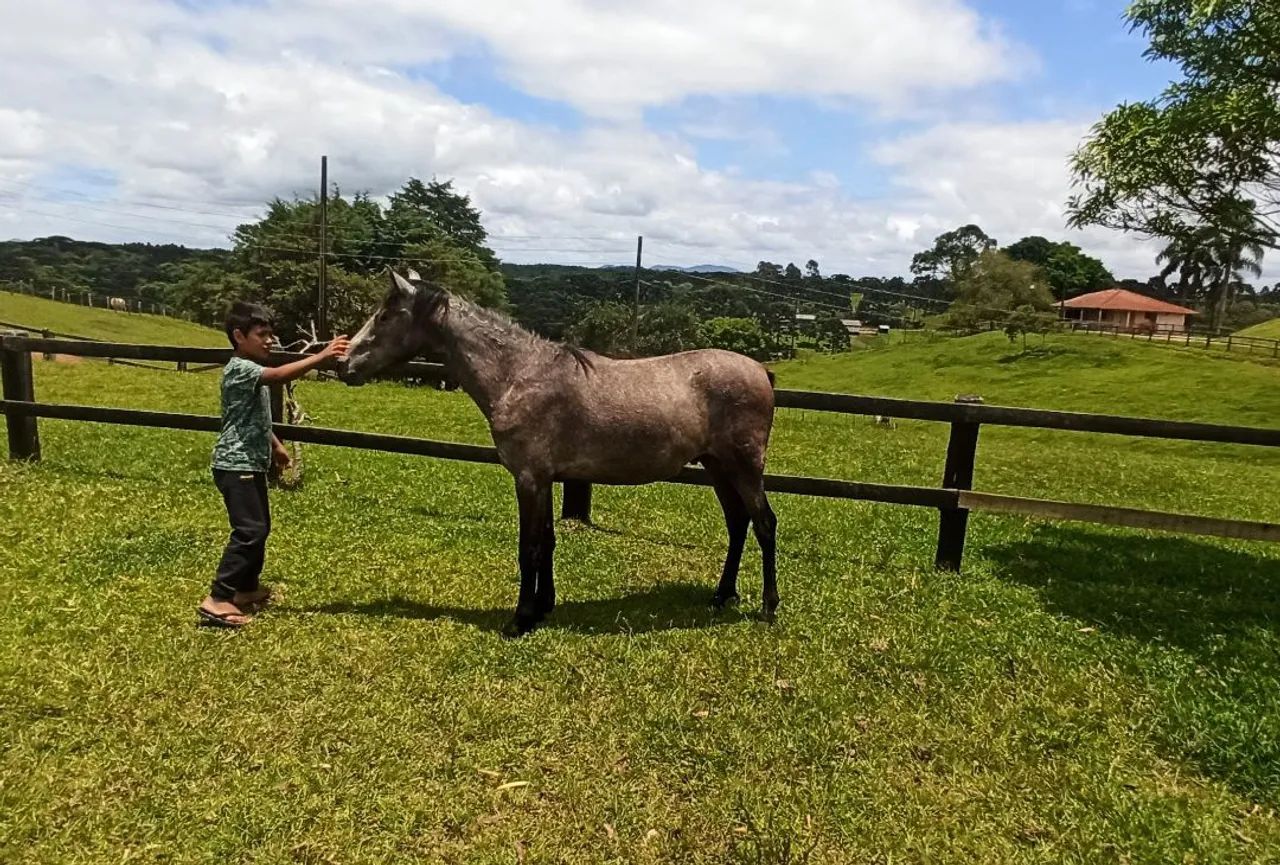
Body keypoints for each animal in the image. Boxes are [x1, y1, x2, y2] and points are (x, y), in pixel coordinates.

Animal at [340, 271, 778, 637]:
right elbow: (548, 541)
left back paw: (769, 607)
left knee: (764, 524)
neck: (519, 375)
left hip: (744, 468)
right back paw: (722, 596)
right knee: (738, 524)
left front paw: (519, 620)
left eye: (384, 316)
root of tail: (760, 371)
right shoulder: (547, 478)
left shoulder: (528, 478)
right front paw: (543, 607)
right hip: (718, 468)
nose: (344, 364)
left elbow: (529, 547)